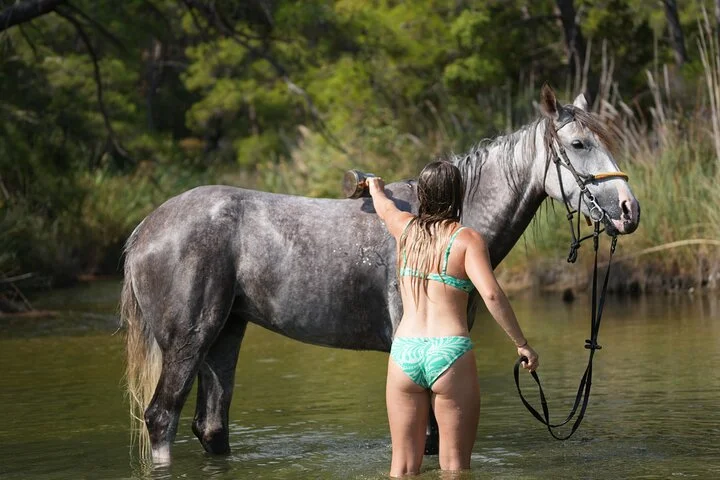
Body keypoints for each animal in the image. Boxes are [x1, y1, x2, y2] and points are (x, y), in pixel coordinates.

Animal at [121, 85, 640, 463]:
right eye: (578, 144)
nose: (629, 210)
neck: (439, 222)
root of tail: (145, 229)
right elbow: (427, 439)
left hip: (226, 334)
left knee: (210, 426)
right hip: (190, 340)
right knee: (162, 417)